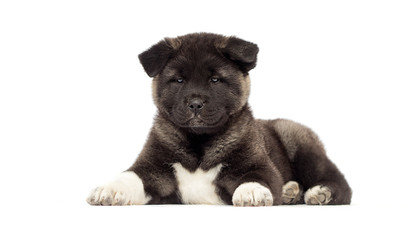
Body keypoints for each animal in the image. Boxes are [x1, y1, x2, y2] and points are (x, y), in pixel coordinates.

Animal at [85, 32, 350, 206]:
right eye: (178, 80)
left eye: (215, 80)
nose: (195, 104)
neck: (199, 144)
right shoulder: (151, 168)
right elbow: (128, 176)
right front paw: (108, 189)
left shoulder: (259, 165)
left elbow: (256, 177)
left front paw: (251, 191)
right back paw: (290, 191)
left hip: (299, 142)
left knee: (340, 182)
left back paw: (320, 192)